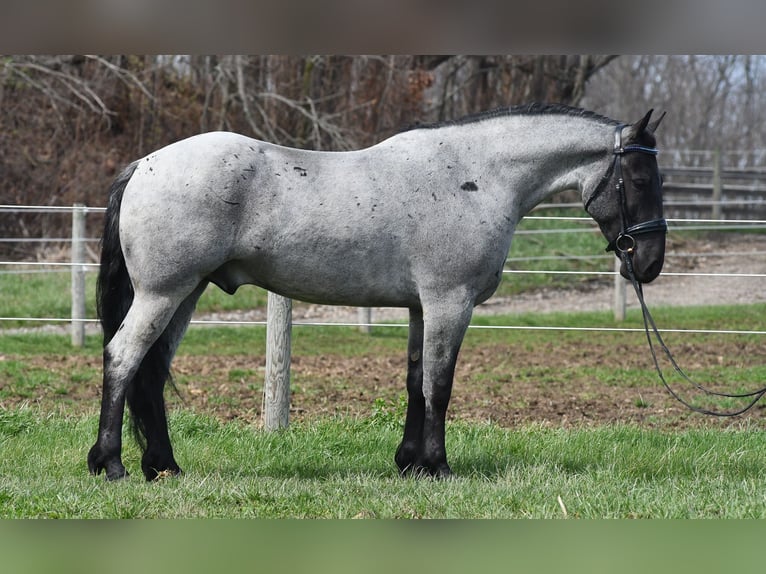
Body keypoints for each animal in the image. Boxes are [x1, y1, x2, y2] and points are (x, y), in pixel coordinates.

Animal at [87, 103, 666, 481]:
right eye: (640, 180)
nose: (651, 262)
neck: (474, 176)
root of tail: (144, 165)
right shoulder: (449, 303)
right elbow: (440, 385)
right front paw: (438, 466)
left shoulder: (420, 308)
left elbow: (415, 381)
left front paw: (409, 462)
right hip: (164, 293)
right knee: (122, 358)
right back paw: (109, 463)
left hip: (184, 294)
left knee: (150, 372)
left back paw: (164, 466)